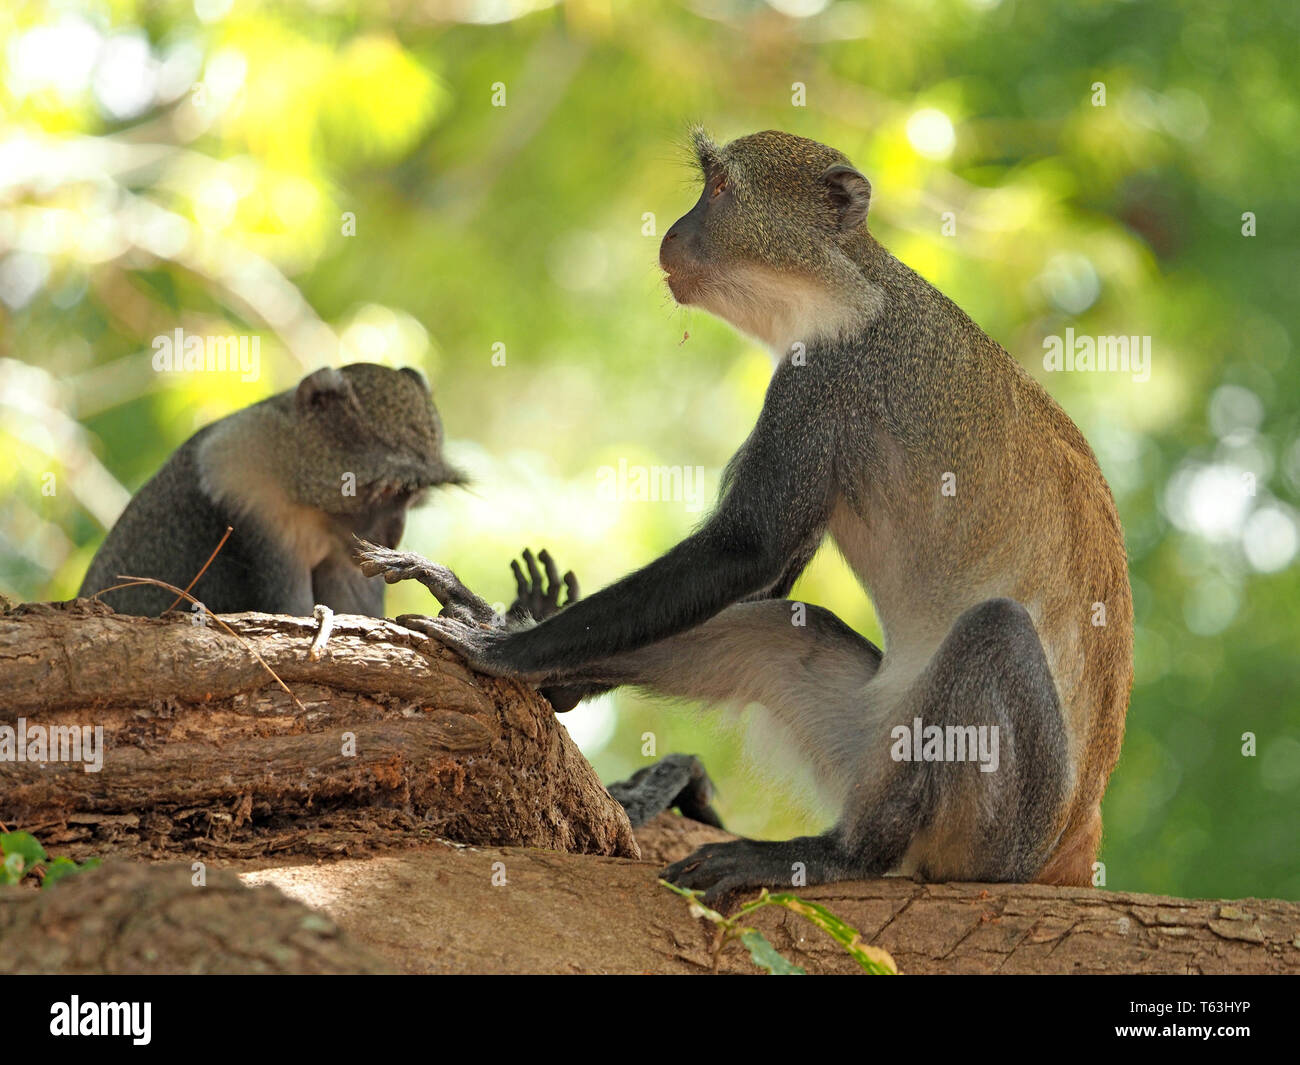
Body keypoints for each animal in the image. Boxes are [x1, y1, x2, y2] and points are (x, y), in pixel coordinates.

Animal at [351, 129, 1133, 905]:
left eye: (721, 189)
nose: (673, 231)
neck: (856, 283)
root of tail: (1075, 847)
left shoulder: (823, 380)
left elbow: (747, 548)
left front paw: (506, 651)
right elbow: (768, 579)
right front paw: (513, 629)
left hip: (998, 834)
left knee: (995, 632)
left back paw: (846, 854)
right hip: (866, 739)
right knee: (779, 635)